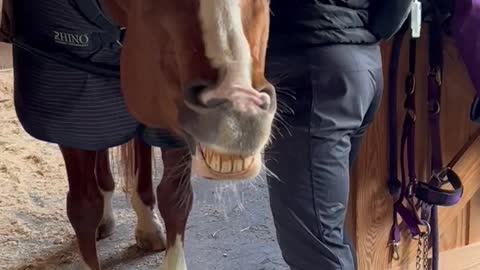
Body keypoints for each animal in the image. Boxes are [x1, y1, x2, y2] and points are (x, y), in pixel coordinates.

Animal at [54, 0, 276, 270]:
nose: (239, 117)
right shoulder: (67, 114)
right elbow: (83, 208)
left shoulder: (168, 117)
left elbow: (175, 199)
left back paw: (147, 225)